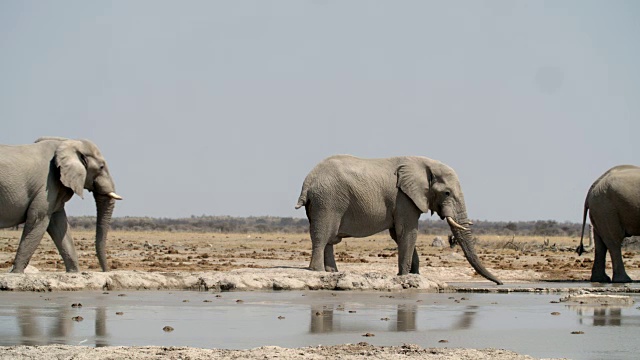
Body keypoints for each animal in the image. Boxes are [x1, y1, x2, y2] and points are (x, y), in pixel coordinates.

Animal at [0, 137, 122, 272]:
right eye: (101, 167)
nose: (106, 270)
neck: (66, 142)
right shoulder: (46, 185)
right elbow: (38, 219)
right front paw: (16, 273)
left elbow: (59, 224)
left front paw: (74, 273)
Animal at [296, 155, 504, 284]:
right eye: (447, 193)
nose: (500, 284)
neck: (425, 165)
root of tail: (308, 181)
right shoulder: (403, 198)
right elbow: (407, 232)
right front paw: (405, 275)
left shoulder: (404, 200)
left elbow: (398, 234)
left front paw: (415, 275)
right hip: (327, 202)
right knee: (322, 236)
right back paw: (318, 271)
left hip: (322, 202)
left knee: (329, 239)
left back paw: (333, 272)